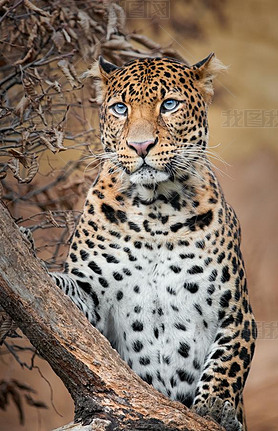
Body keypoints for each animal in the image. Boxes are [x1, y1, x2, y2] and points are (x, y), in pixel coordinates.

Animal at [50, 54, 256, 431]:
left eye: (169, 105)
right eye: (120, 108)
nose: (140, 146)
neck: (156, 210)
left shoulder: (236, 313)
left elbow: (227, 363)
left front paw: (216, 407)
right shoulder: (90, 298)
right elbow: (64, 295)